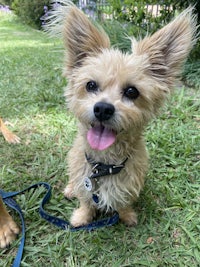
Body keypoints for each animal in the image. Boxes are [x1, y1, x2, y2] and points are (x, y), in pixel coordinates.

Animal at [47, 1, 197, 228]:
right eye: (91, 85)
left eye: (132, 91)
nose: (103, 108)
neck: (105, 166)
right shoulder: (84, 181)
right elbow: (86, 201)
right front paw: (81, 218)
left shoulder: (130, 184)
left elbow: (124, 202)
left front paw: (127, 216)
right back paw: (70, 189)